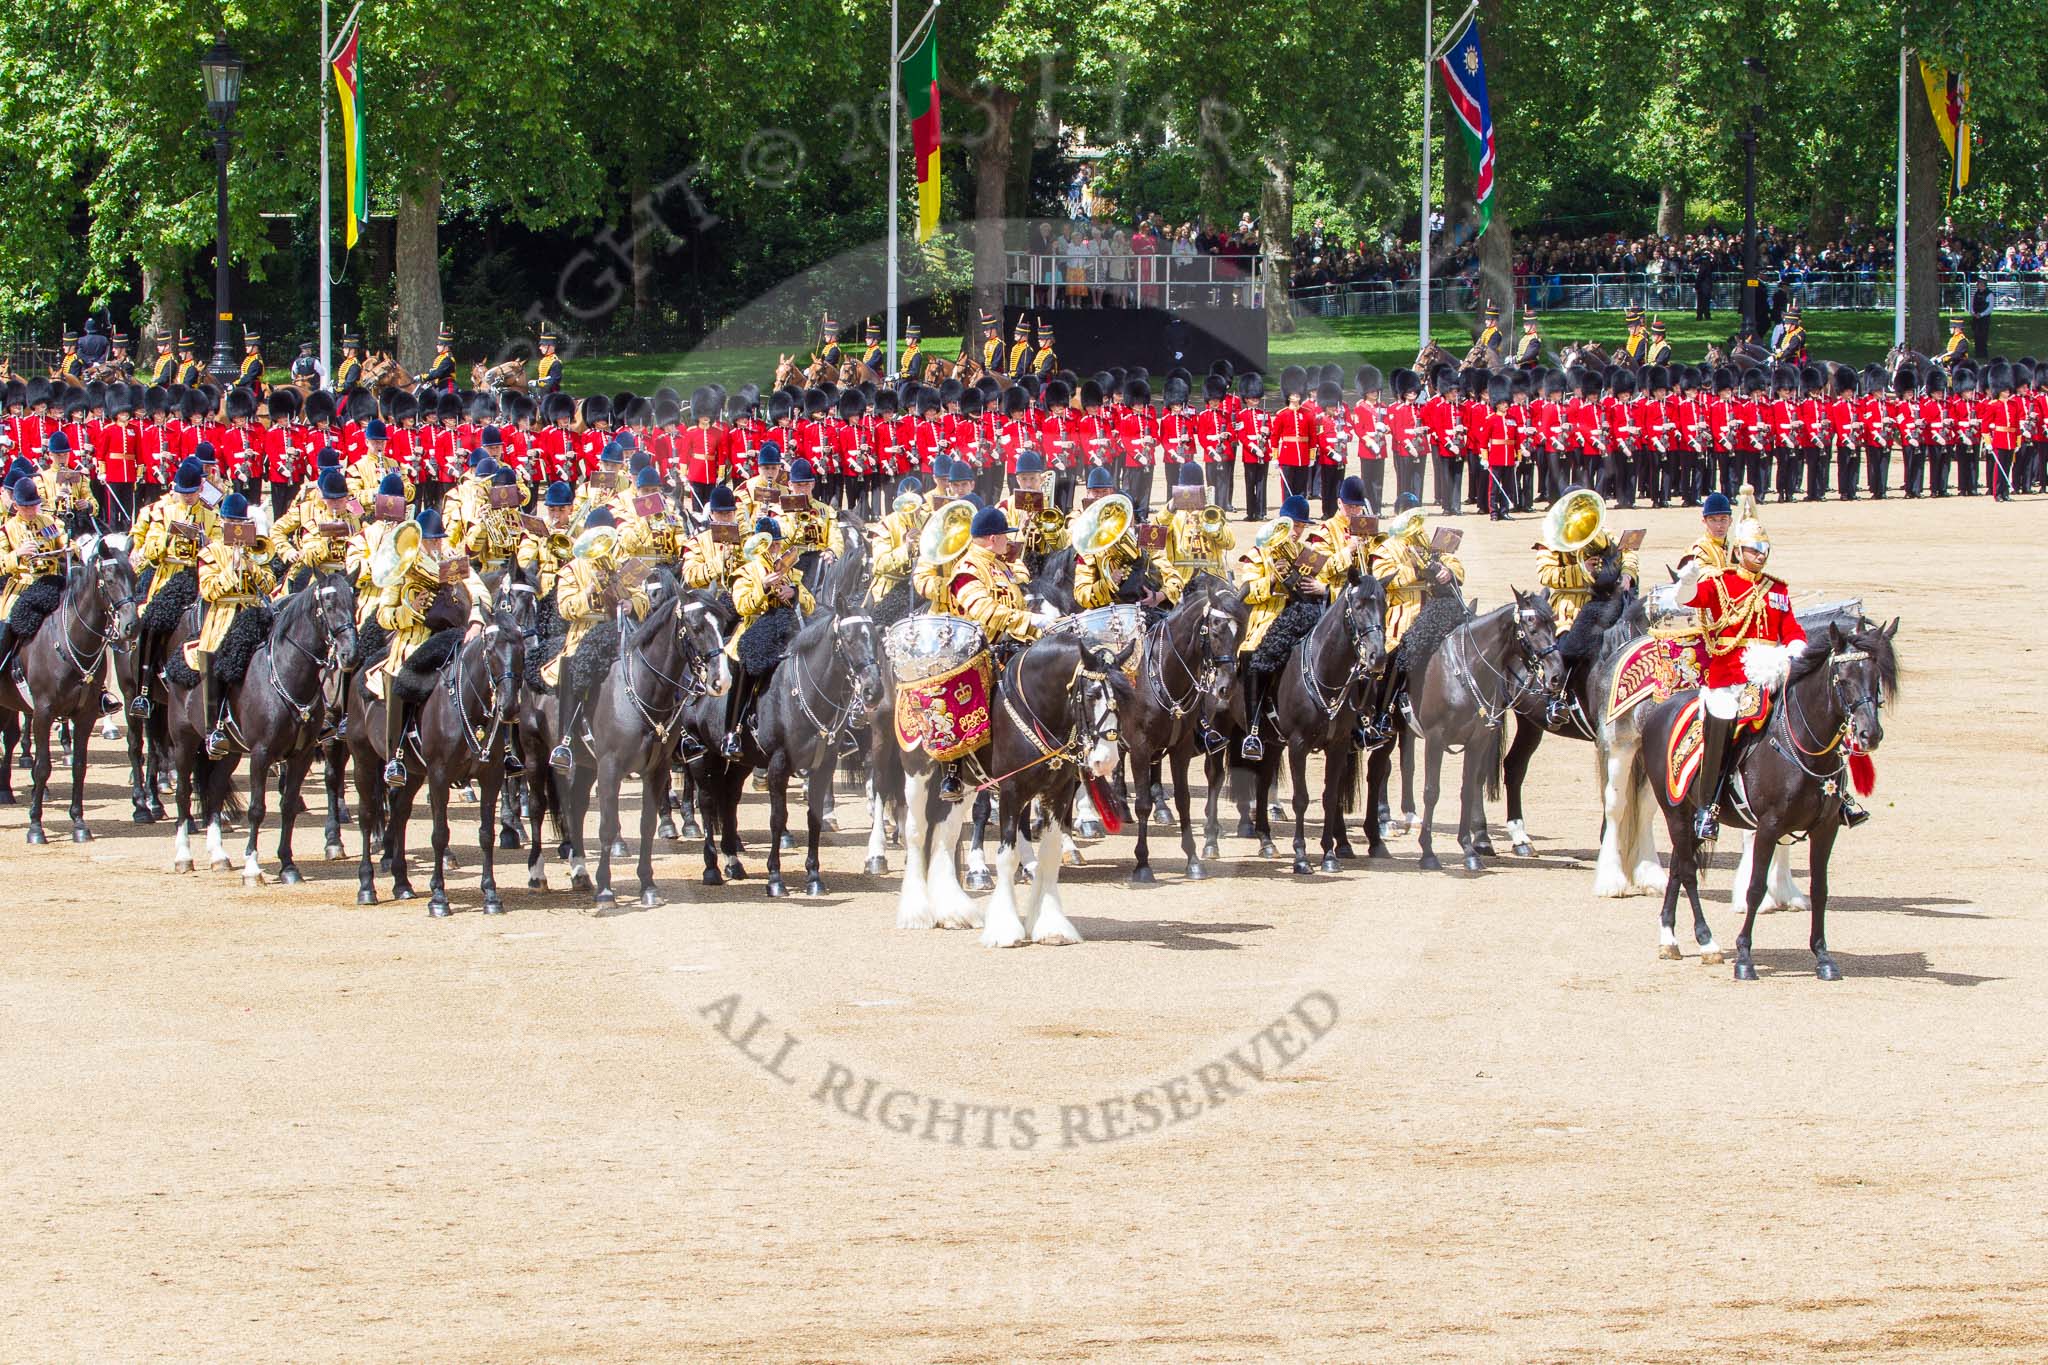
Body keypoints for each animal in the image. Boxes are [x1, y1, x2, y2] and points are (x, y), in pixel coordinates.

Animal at [1630, 618, 1900, 982]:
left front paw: (1823, 957)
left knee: (1677, 866)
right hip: (1676, 812)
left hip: (1688, 818)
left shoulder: (1826, 829)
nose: (1869, 734)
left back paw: (1669, 939)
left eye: (1876, 678)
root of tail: (1660, 710)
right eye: (1842, 679)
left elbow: (1820, 890)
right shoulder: (1769, 827)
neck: (1804, 747)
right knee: (1686, 870)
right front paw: (1745, 957)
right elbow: (1756, 887)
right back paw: (1707, 941)